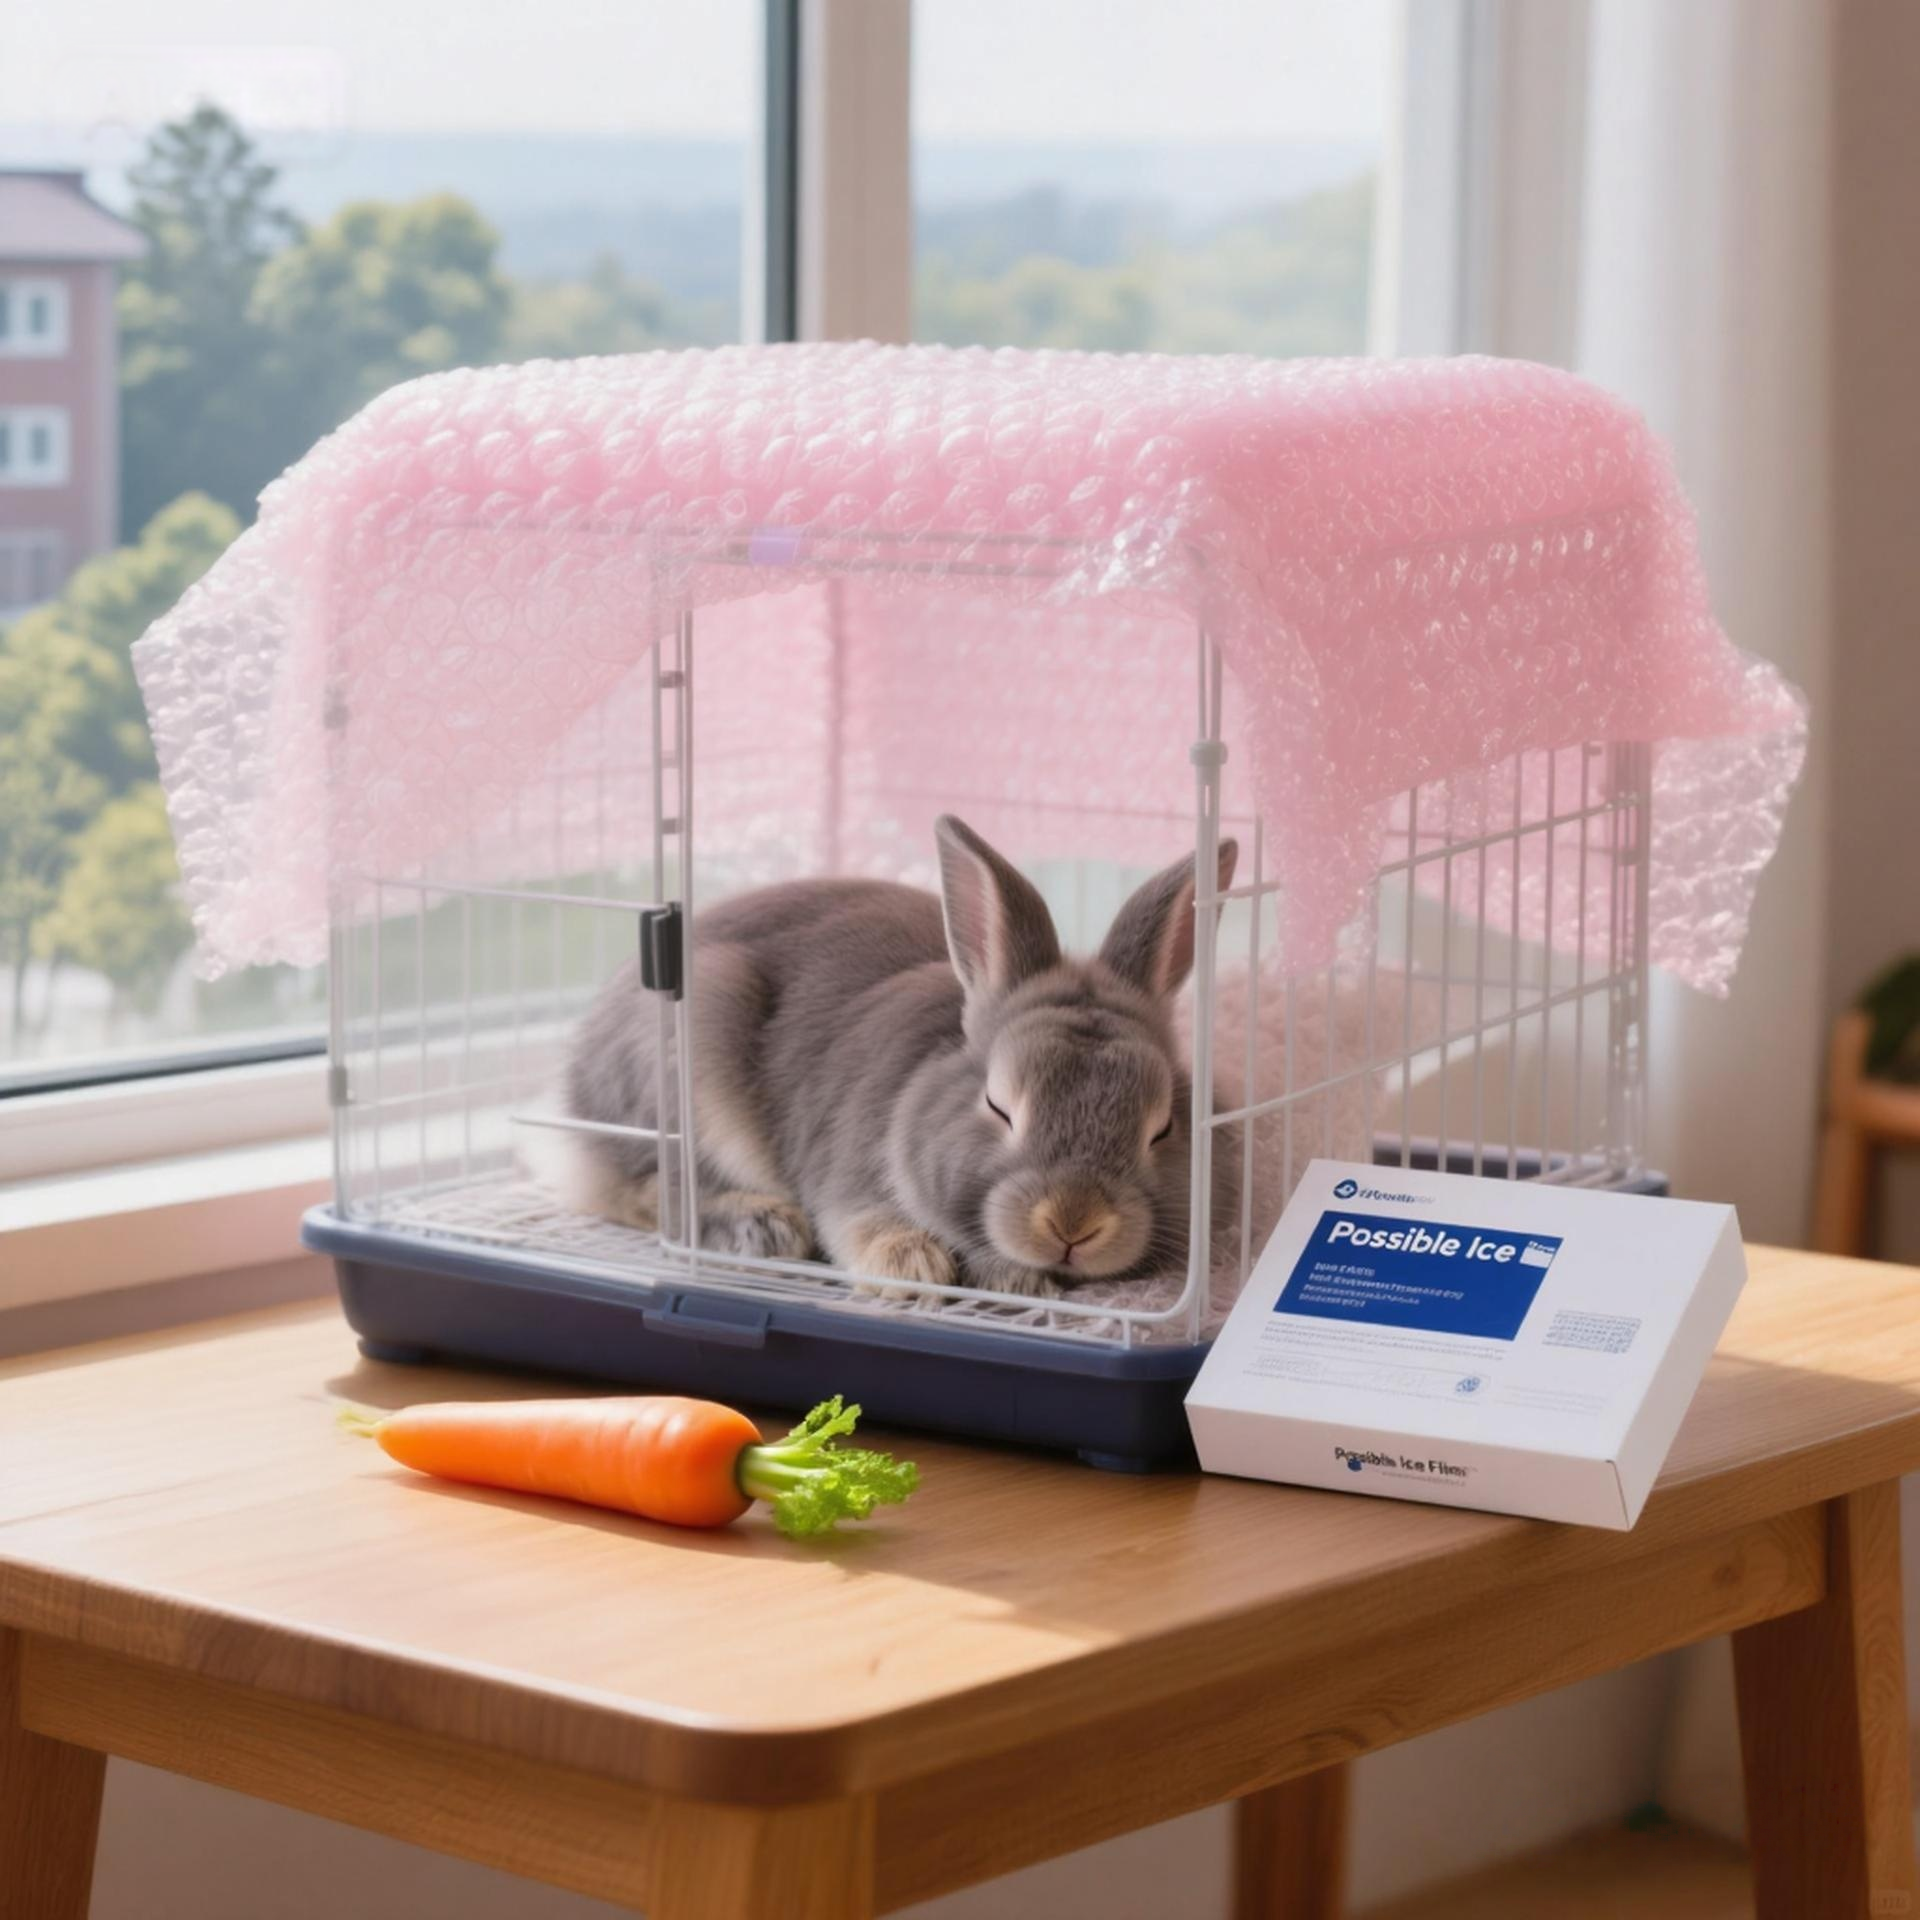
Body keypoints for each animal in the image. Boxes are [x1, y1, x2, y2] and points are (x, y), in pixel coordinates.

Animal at [551, 815, 1239, 1299]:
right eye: (999, 1106)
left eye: (1162, 1129)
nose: (1074, 1221)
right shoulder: (849, 1178)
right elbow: (862, 1224)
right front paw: (913, 1268)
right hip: (680, 1078)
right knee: (642, 1192)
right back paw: (764, 1225)